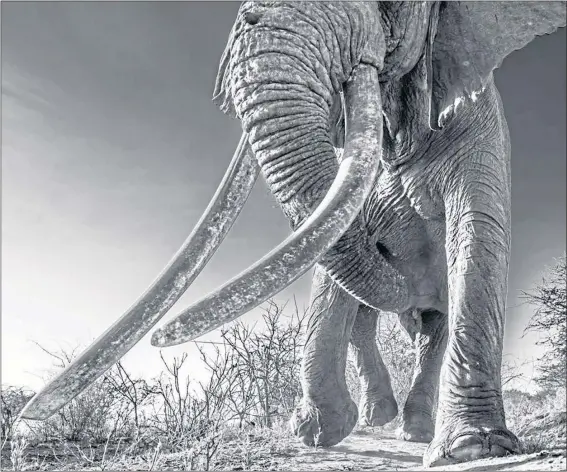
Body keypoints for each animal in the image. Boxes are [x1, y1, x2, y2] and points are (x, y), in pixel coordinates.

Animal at [20, 0, 564, 468]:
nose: (26, 420)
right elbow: (331, 246)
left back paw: (414, 430)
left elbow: (476, 231)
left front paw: (473, 449)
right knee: (381, 316)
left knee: (431, 325)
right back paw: (386, 421)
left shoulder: (481, 125)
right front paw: (318, 432)